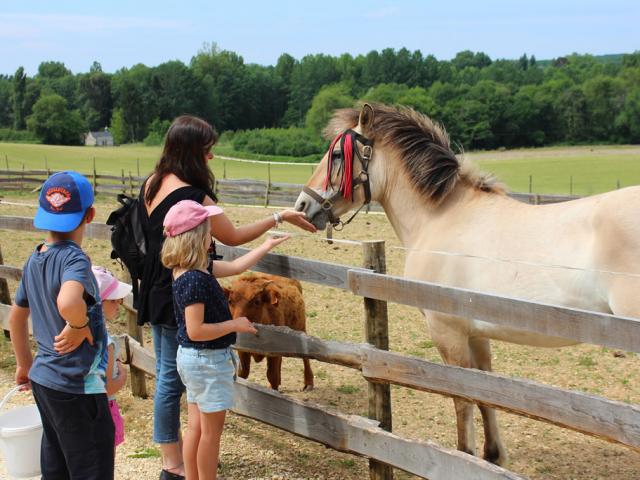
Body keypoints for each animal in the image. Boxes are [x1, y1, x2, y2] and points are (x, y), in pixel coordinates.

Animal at [294, 102, 640, 464]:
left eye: (337, 155)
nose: (302, 205)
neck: (440, 217)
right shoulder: (476, 333)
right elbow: (484, 392)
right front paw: (492, 456)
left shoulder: (447, 331)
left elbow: (461, 398)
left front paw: (465, 456)